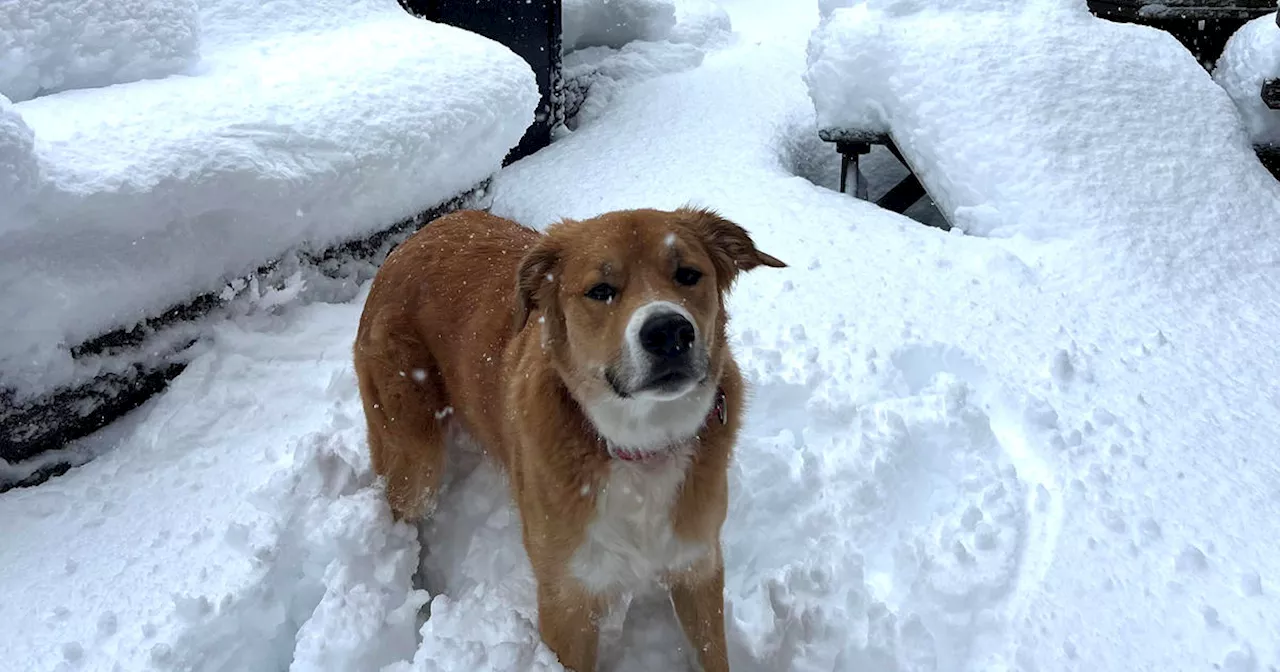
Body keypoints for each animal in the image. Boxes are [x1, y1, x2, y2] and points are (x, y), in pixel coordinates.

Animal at [355, 207, 783, 665]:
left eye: (688, 274)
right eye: (601, 290)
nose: (669, 332)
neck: (639, 448)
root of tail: (414, 239)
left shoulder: (697, 567)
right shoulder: (567, 600)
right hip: (416, 455)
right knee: (401, 509)